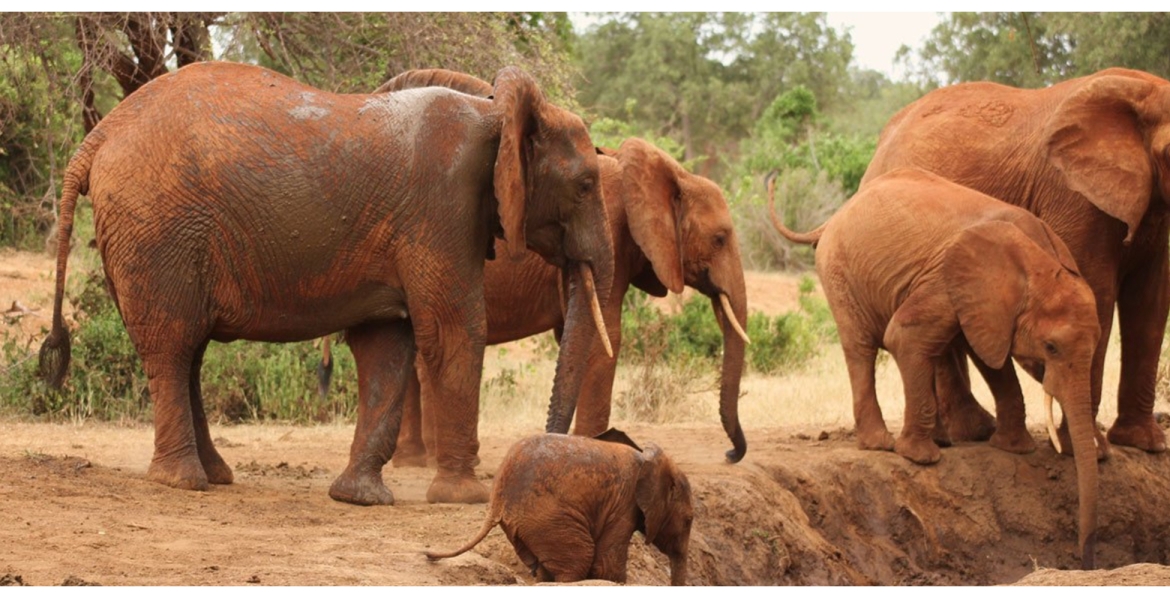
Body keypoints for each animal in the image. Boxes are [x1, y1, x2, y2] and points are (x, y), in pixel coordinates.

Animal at [37, 61, 616, 506]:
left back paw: (216, 476)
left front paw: (360, 498)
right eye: (586, 185)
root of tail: (98, 137)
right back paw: (184, 482)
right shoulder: (441, 209)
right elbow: (454, 331)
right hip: (157, 228)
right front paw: (462, 498)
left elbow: (387, 344)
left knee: (188, 350)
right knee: (173, 345)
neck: (494, 112)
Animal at [323, 69, 749, 465]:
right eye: (720, 239)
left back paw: (412, 460)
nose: (730, 454)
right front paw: (600, 446)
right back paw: (424, 461)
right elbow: (606, 338)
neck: (664, 170)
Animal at [424, 430, 694, 585]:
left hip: (527, 525)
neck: (649, 460)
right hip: (547, 517)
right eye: (689, 520)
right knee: (578, 560)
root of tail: (495, 500)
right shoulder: (624, 504)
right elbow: (607, 566)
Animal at [770, 167, 1101, 569]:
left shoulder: (982, 303)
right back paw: (882, 444)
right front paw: (920, 458)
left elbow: (988, 356)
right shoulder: (945, 280)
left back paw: (939, 439)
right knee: (861, 347)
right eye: (1051, 347)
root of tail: (834, 216)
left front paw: (1012, 448)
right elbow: (904, 337)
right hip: (839, 271)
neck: (1037, 260)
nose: (1085, 559)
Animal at [862, 68, 1170, 457]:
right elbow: (1095, 290)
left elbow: (1151, 302)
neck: (1145, 88)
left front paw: (1146, 445)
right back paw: (974, 431)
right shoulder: (1071, 196)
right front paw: (1092, 451)